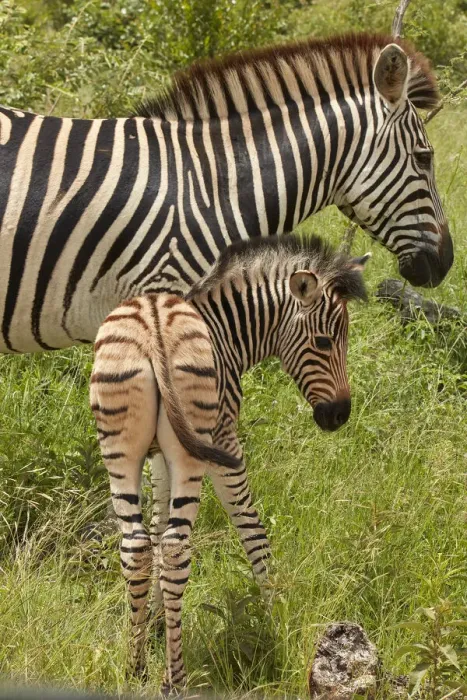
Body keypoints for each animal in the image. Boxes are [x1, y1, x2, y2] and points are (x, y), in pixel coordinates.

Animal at [90, 234, 370, 689]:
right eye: (325, 343)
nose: (340, 416)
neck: (226, 332)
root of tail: (153, 329)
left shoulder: (157, 459)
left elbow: (155, 528)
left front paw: (154, 624)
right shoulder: (223, 445)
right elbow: (252, 529)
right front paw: (276, 615)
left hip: (119, 447)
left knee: (135, 546)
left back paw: (135, 667)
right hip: (196, 449)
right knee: (176, 547)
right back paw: (175, 679)